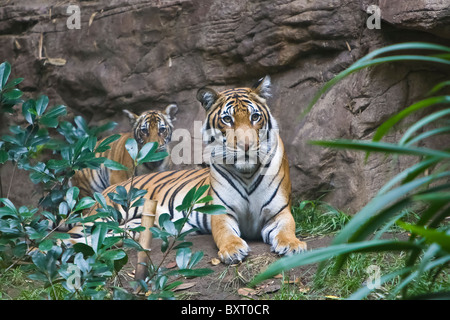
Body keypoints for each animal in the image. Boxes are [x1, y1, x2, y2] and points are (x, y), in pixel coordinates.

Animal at [66, 77, 306, 262]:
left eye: (255, 117)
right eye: (227, 119)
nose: (246, 146)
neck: (246, 173)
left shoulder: (279, 212)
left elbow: (287, 229)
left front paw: (293, 245)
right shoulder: (222, 213)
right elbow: (225, 233)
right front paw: (233, 249)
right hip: (104, 214)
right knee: (68, 235)